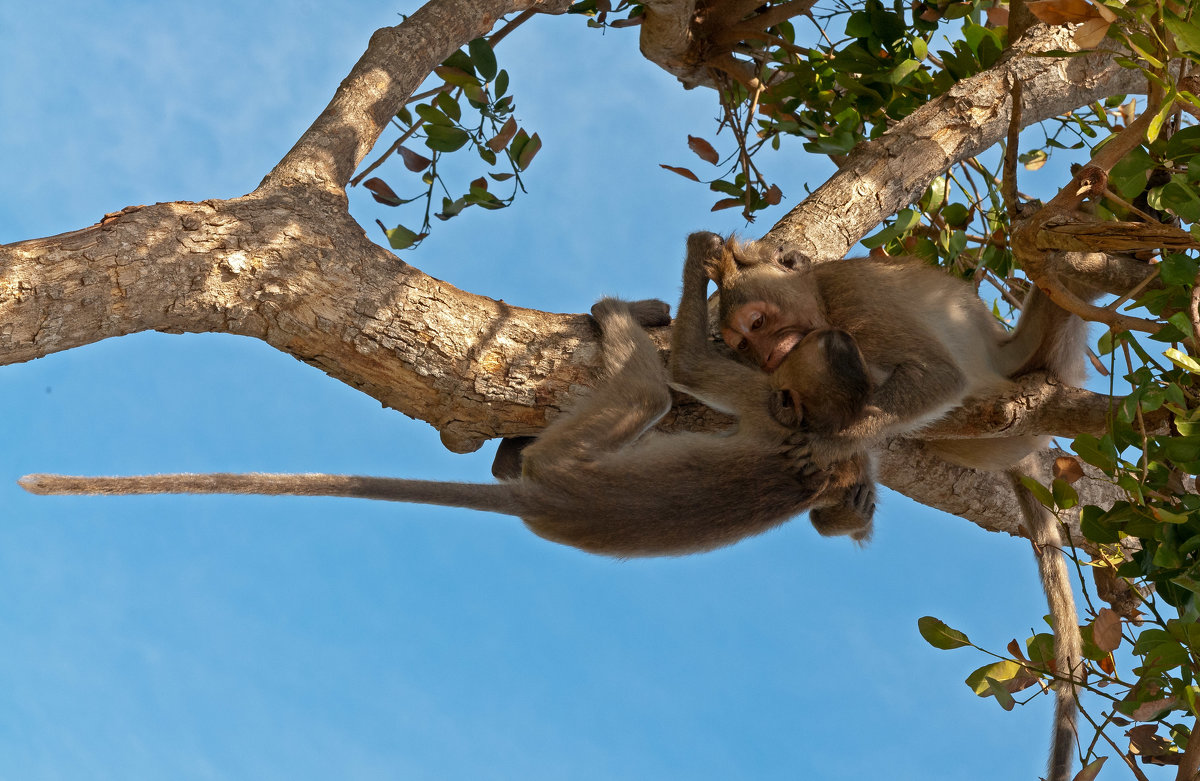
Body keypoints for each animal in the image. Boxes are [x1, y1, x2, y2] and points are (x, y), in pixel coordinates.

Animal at [18, 232, 883, 556]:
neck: (819, 450)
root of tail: (546, 501)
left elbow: (701, 369)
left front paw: (706, 258)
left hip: (582, 451)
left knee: (648, 395)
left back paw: (616, 315)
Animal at [705, 236, 1094, 781]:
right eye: (743, 344)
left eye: (757, 325)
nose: (764, 355)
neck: (818, 299)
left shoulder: (855, 300)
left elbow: (937, 377)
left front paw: (828, 443)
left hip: (1032, 370)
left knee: (1070, 275)